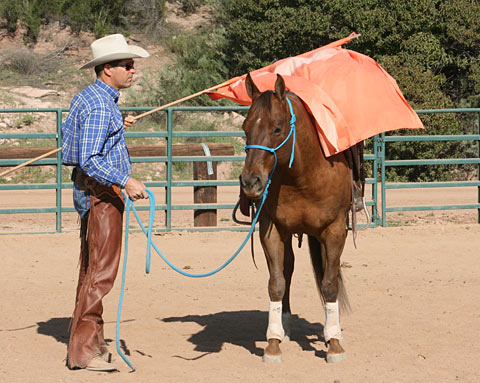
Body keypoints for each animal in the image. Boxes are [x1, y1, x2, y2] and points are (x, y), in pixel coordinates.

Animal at [240, 73, 352, 364]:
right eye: (245, 128)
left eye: (277, 129)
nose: (250, 181)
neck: (303, 177)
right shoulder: (271, 231)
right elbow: (276, 283)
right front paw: (272, 344)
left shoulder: (335, 231)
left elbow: (330, 284)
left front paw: (334, 344)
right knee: (287, 270)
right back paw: (285, 327)